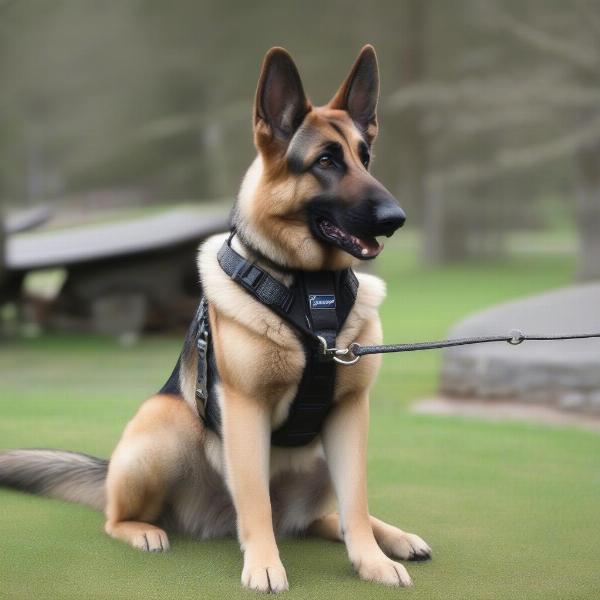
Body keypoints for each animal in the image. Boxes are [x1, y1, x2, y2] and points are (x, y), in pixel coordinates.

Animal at [0, 45, 432, 592]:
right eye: (326, 161)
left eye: (365, 158)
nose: (396, 219)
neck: (311, 290)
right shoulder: (245, 412)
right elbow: (254, 500)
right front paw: (265, 565)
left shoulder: (349, 413)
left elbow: (355, 502)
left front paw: (371, 560)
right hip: (166, 424)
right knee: (118, 517)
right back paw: (143, 530)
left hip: (322, 456)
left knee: (324, 517)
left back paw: (391, 536)